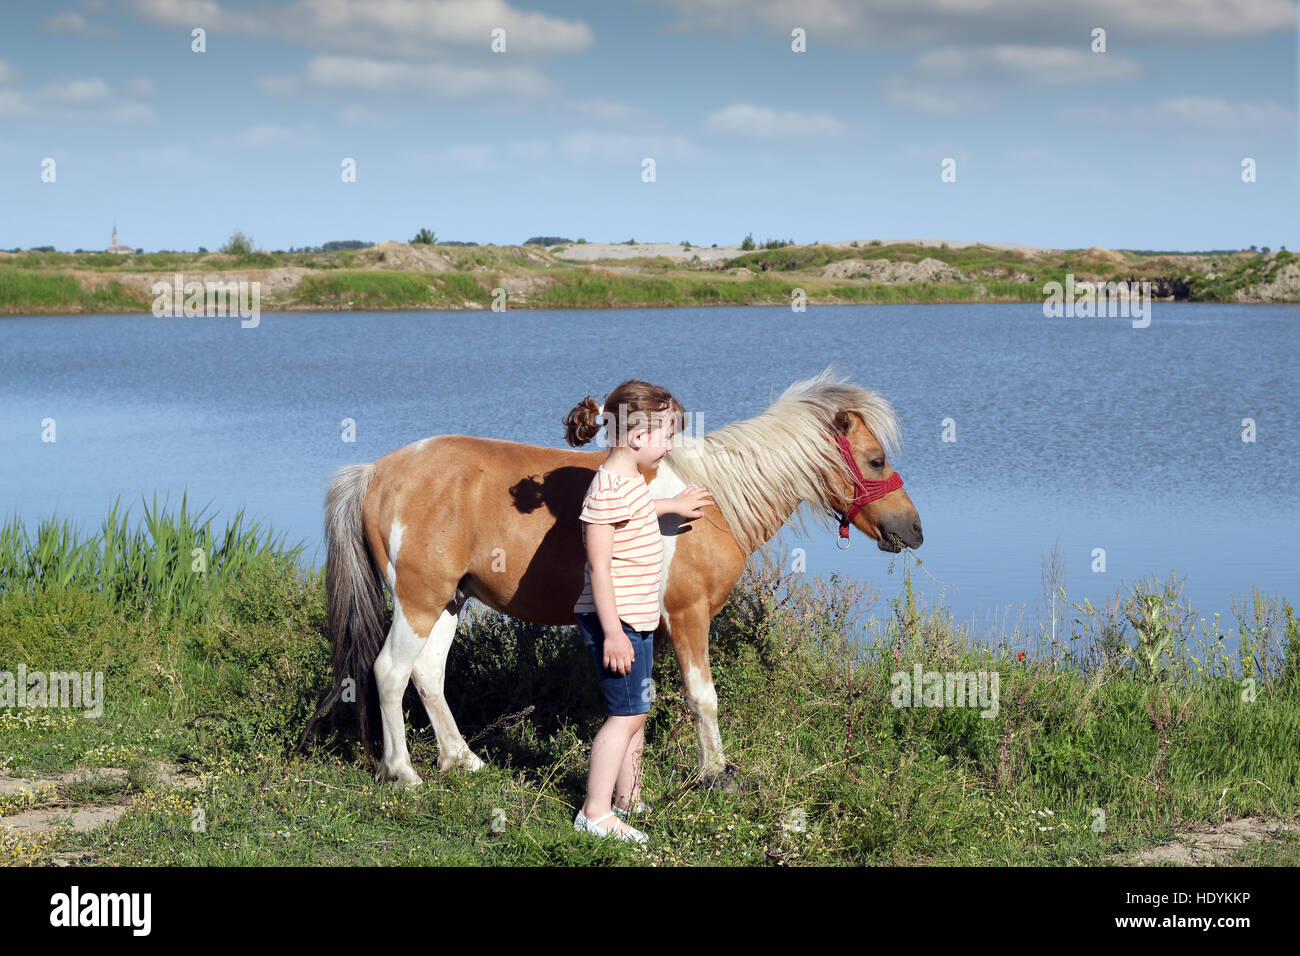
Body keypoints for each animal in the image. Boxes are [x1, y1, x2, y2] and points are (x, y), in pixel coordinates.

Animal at [309, 366, 920, 785]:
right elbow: (703, 697)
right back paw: (402, 772)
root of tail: (377, 471)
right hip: (419, 599)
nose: (913, 529)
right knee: (390, 672)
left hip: (448, 601)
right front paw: (715, 774)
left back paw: (461, 759)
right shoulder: (688, 616)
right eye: (875, 460)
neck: (714, 500)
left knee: (428, 675)